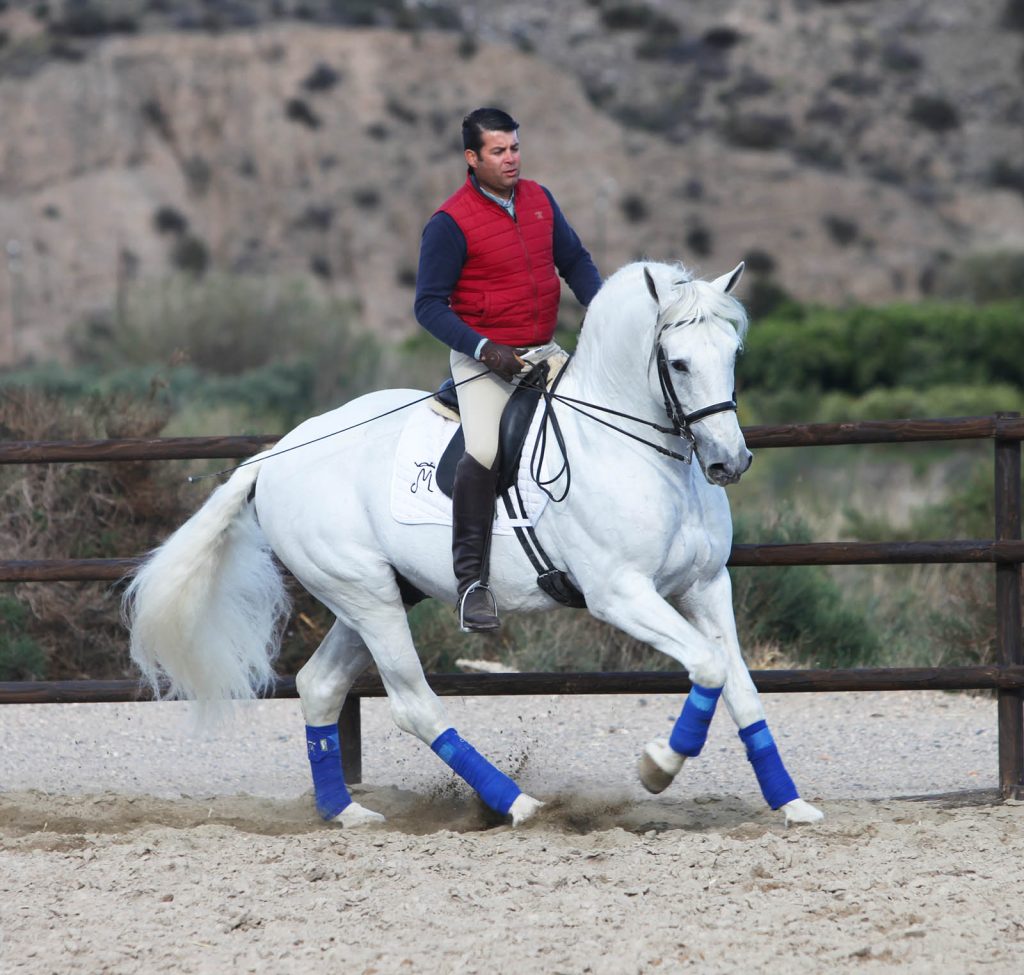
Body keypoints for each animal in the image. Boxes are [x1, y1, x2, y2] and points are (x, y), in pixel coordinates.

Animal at [124, 259, 824, 829]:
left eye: (733, 354)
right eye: (677, 363)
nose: (730, 463)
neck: (638, 450)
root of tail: (276, 455)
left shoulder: (706, 586)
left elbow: (739, 682)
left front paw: (790, 804)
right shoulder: (621, 593)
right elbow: (707, 666)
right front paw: (658, 766)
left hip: (377, 596)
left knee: (320, 685)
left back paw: (347, 813)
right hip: (366, 595)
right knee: (414, 705)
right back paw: (519, 804)